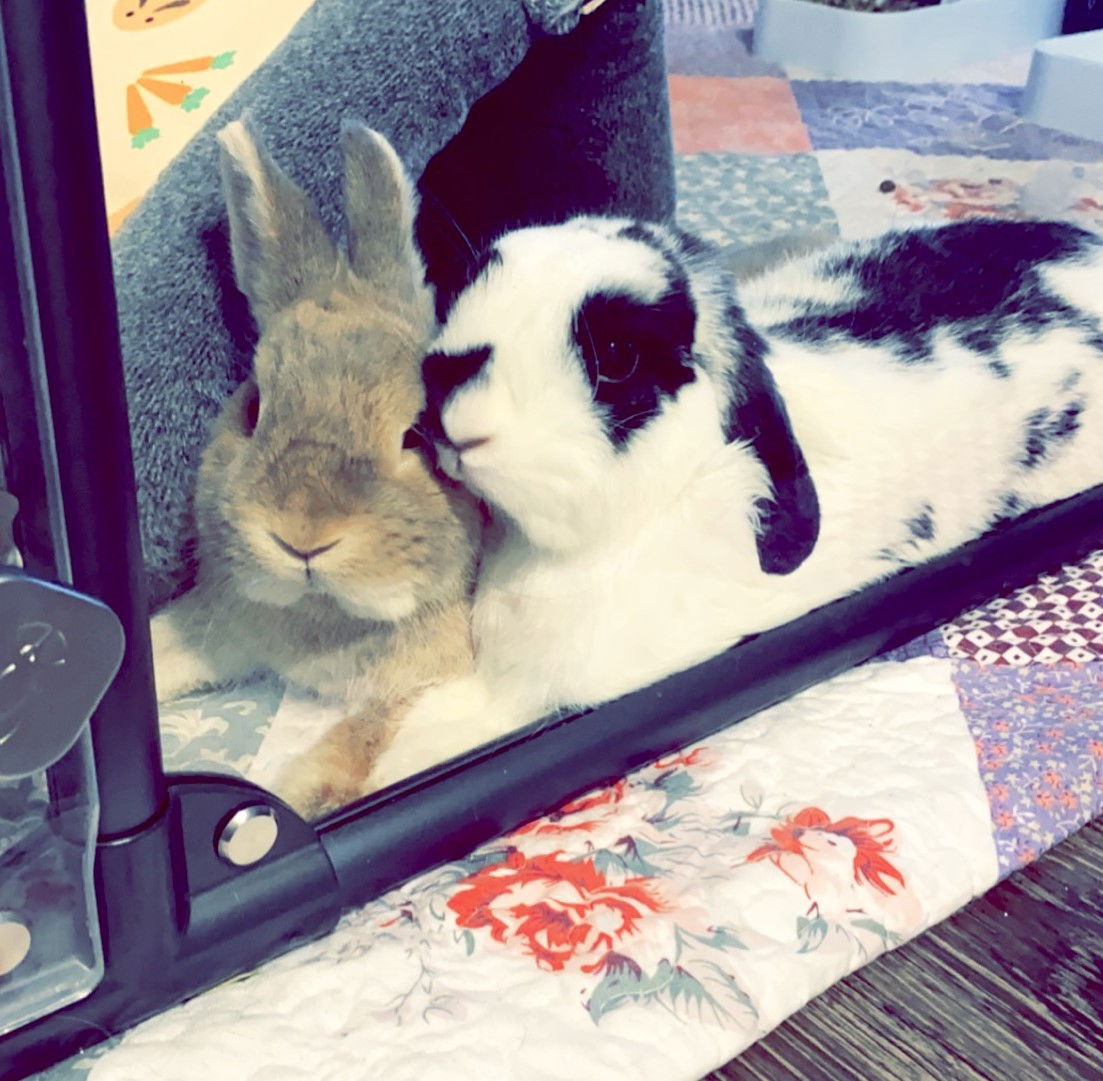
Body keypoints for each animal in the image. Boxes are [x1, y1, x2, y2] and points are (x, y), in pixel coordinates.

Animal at [152, 118, 483, 820]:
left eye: (416, 433)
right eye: (253, 408)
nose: (302, 535)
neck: (327, 617)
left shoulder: (434, 676)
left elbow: (358, 742)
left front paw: (281, 805)